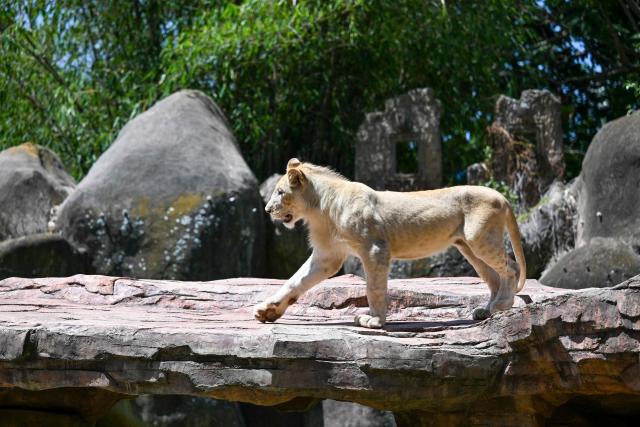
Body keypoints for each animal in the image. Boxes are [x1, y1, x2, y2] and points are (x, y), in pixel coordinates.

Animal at [254, 158, 526, 328]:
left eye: (280, 192)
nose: (267, 210)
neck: (318, 210)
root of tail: (501, 196)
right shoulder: (327, 256)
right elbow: (295, 281)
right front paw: (267, 311)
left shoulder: (375, 249)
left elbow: (373, 288)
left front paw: (374, 321)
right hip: (468, 246)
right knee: (494, 278)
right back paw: (487, 310)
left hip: (479, 239)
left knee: (511, 268)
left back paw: (502, 305)